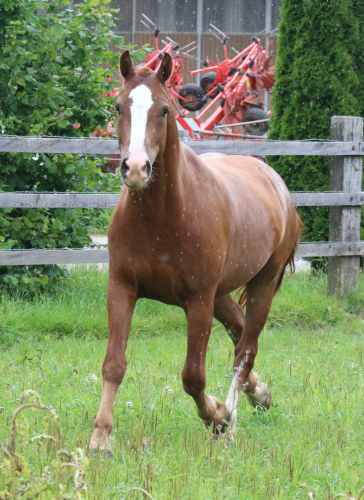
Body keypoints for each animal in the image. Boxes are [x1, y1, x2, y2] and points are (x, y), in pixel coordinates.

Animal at [89, 50, 300, 454]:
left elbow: (193, 377)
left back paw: (231, 420)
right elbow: (113, 364)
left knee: (244, 351)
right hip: (221, 294)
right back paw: (260, 395)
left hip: (261, 286)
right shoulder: (121, 289)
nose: (135, 168)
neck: (163, 217)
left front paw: (217, 416)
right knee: (238, 331)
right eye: (119, 105)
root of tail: (275, 182)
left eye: (164, 109)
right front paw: (100, 436)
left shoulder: (198, 302)